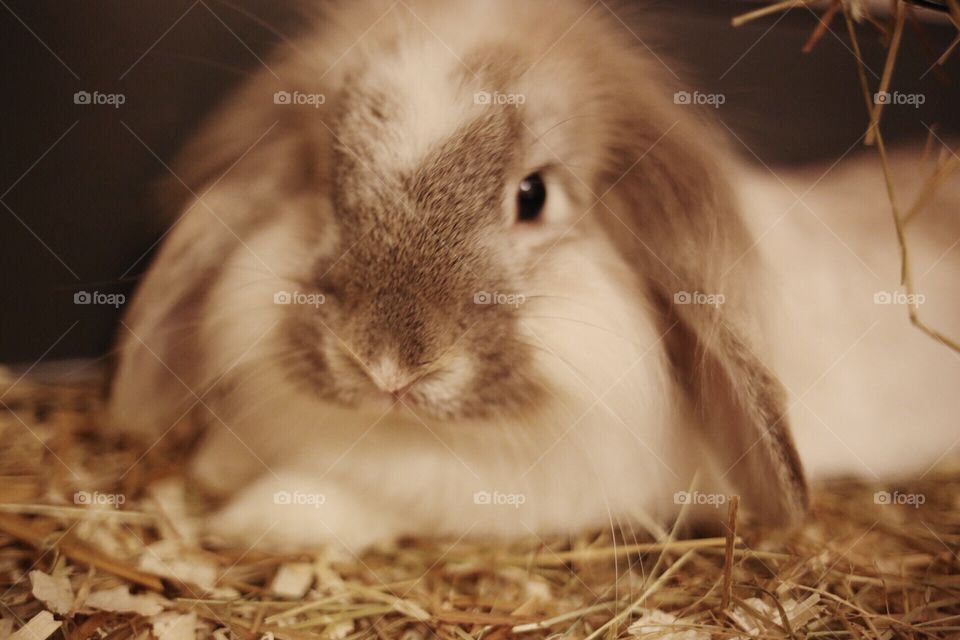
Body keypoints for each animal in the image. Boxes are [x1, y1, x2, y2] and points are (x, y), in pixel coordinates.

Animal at [109, 0, 960, 551]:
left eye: (534, 196)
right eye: (323, 181)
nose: (385, 364)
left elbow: (376, 502)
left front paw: (255, 518)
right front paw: (216, 468)